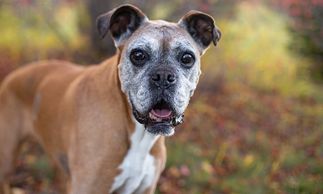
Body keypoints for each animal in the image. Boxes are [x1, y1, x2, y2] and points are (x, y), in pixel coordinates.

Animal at [0, 3, 220, 194]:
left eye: (187, 58)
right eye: (138, 55)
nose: (163, 77)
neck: (135, 132)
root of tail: (14, 75)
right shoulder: (88, 187)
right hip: (6, 161)